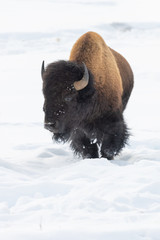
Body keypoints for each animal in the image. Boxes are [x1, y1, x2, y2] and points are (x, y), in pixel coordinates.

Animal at [41, 31, 134, 159]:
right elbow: (88, 149)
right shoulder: (79, 131)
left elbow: (108, 147)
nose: (49, 124)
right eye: (44, 94)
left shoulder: (113, 123)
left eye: (68, 96)